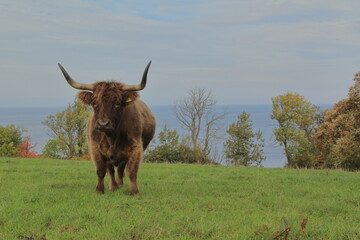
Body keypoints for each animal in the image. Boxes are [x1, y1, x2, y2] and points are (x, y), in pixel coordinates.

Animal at [58, 61, 156, 195]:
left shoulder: (136, 147)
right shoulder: (95, 148)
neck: (112, 137)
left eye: (117, 103)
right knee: (111, 170)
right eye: (95, 102)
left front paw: (134, 192)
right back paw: (114, 186)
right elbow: (101, 170)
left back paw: (120, 184)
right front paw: (99, 190)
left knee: (121, 168)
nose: (103, 124)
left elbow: (132, 171)